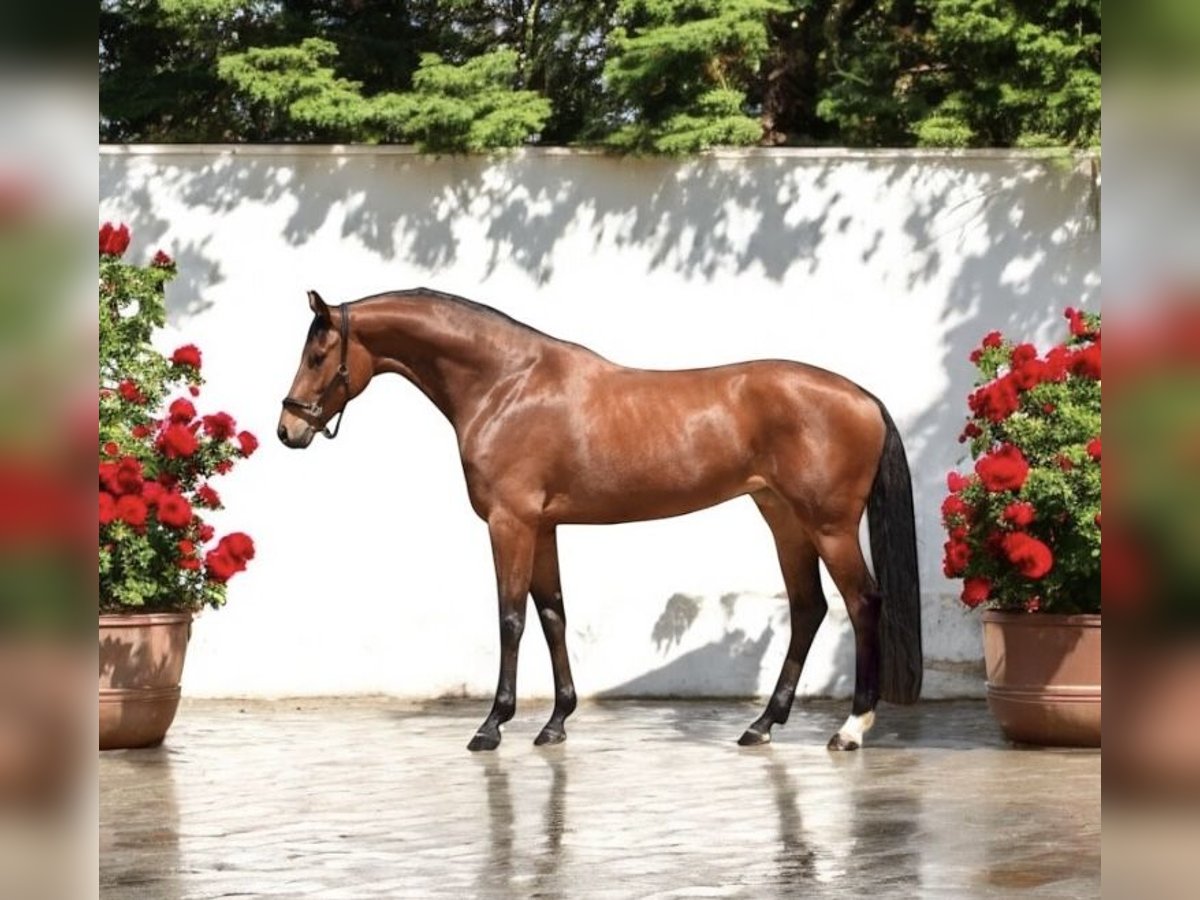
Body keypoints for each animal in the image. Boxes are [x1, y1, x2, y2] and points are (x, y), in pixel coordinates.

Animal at [278, 289, 916, 753]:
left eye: (317, 356)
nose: (289, 430)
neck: (506, 384)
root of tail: (863, 397)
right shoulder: (542, 527)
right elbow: (553, 613)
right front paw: (555, 722)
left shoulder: (509, 523)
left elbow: (511, 618)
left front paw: (492, 726)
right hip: (783, 518)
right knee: (808, 607)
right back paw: (761, 725)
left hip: (828, 527)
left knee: (863, 603)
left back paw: (851, 729)